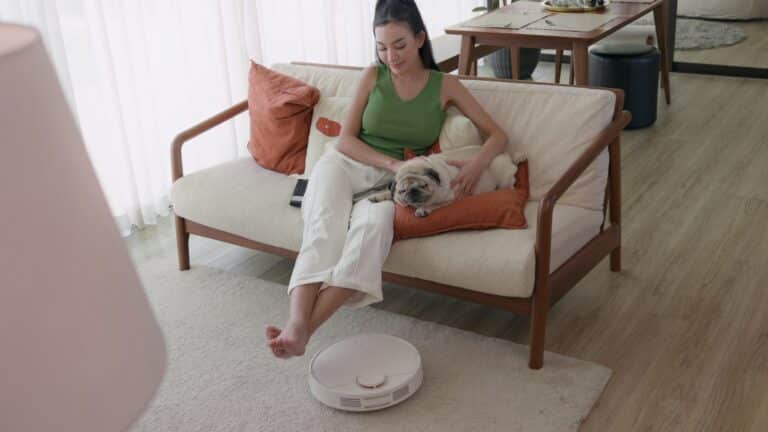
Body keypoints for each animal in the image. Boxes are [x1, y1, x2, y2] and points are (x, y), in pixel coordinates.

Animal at [368, 147, 524, 218]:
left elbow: (434, 204)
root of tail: (507, 155)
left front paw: (423, 209)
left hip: (503, 177)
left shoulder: (450, 198)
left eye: (423, 186)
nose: (413, 192)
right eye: (402, 191)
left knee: (510, 185)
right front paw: (378, 196)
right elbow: (389, 193)